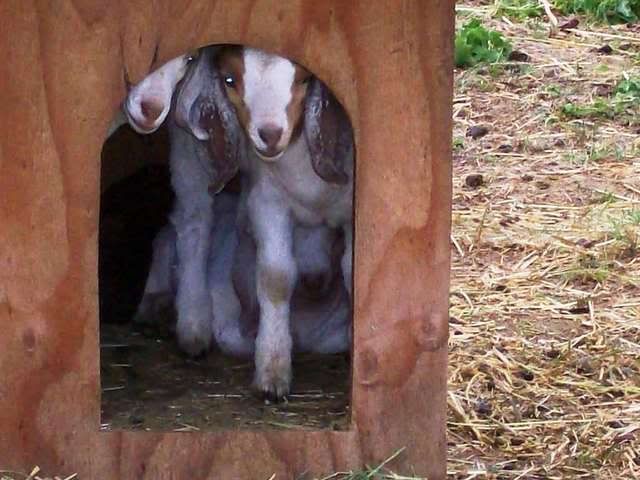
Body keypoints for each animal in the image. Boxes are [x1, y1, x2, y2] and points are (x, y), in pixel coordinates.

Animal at [216, 47, 354, 400]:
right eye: (229, 79)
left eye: (305, 79)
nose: (270, 134)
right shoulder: (267, 200)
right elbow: (275, 277)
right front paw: (272, 371)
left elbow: (353, 270)